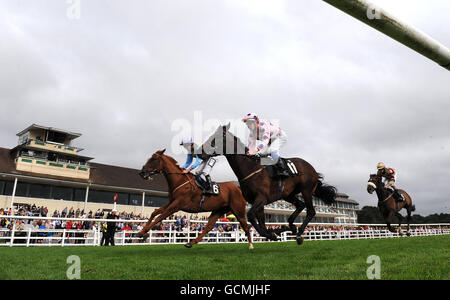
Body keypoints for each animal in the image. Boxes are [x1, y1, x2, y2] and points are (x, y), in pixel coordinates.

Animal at [200, 123, 338, 245]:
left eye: (214, 139)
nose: (200, 152)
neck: (250, 168)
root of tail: (312, 169)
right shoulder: (257, 202)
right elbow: (260, 223)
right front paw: (274, 232)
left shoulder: (261, 198)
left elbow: (250, 215)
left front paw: (274, 233)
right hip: (288, 194)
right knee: (300, 205)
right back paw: (292, 226)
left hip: (306, 190)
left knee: (310, 211)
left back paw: (299, 234)